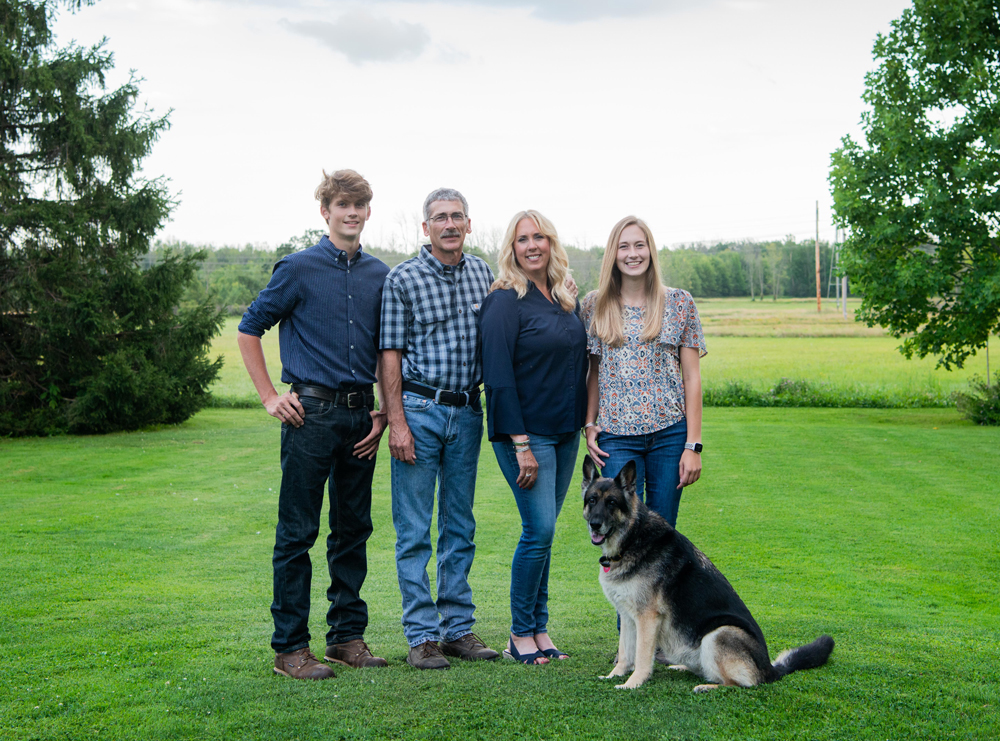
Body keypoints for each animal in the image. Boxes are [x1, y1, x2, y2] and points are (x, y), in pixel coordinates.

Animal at [584, 454, 832, 692]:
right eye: (592, 500)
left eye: (612, 503)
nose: (594, 524)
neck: (631, 538)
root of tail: (771, 669)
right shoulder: (627, 616)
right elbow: (625, 653)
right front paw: (615, 675)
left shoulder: (647, 618)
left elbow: (642, 657)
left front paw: (632, 684)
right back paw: (683, 667)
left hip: (719, 633)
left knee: (743, 684)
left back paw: (706, 687)